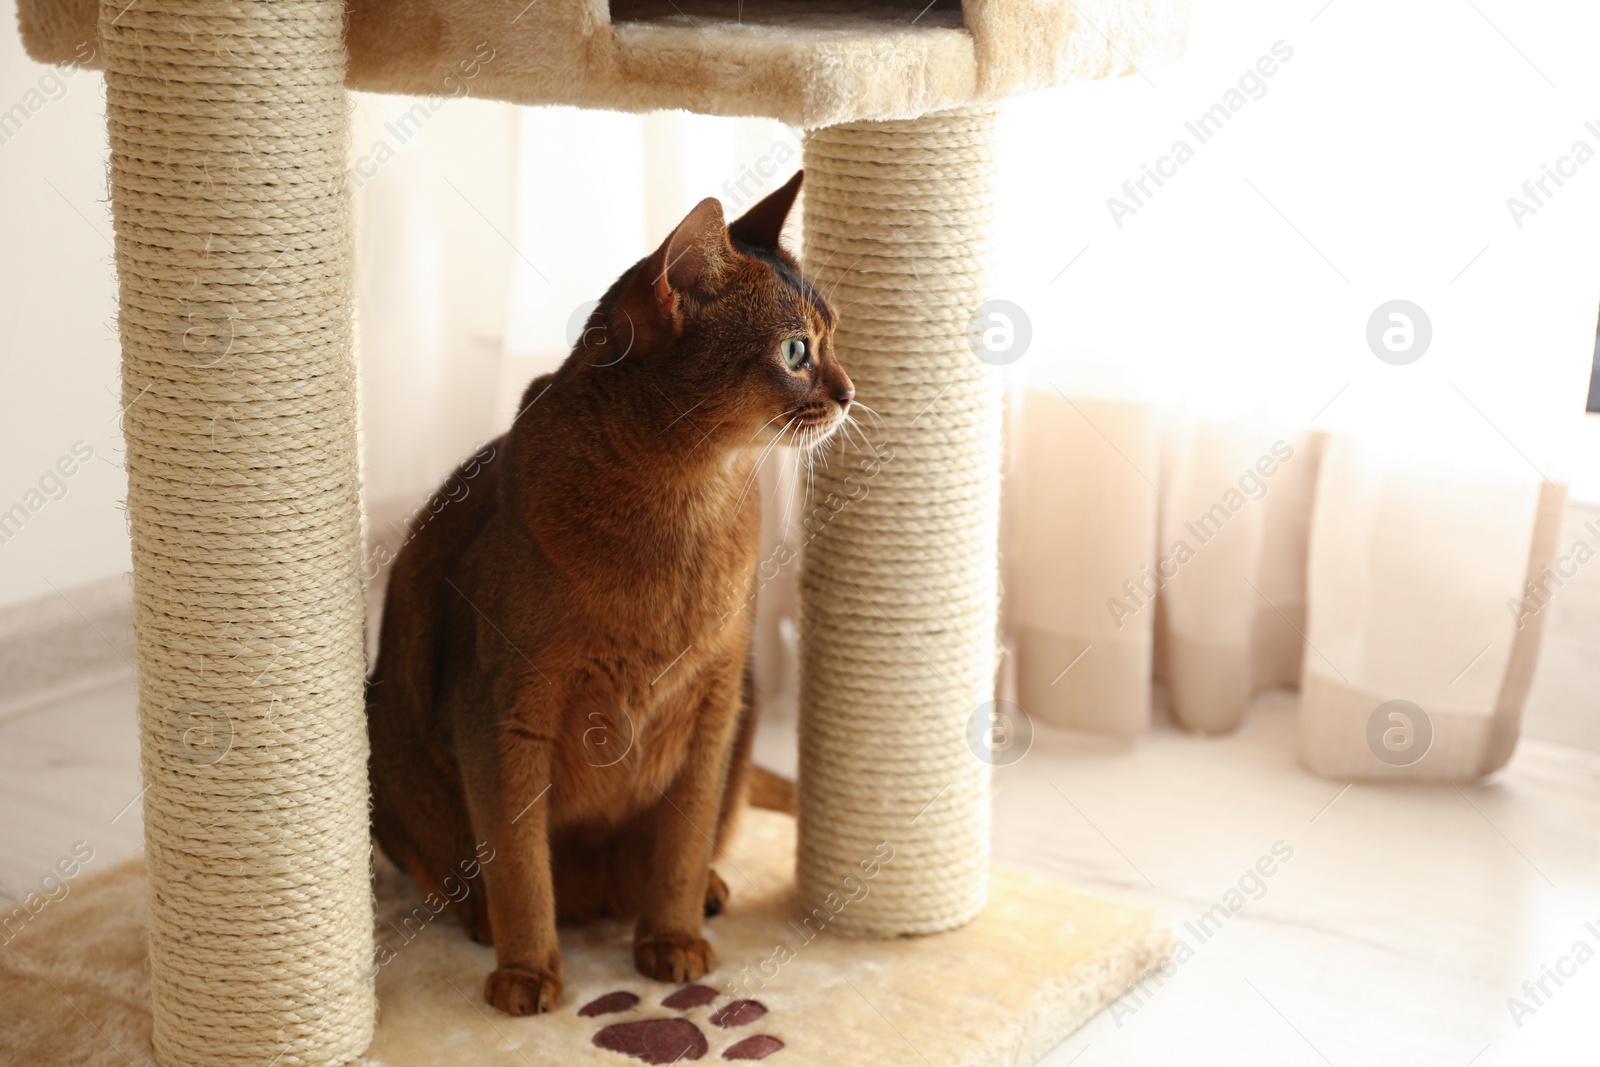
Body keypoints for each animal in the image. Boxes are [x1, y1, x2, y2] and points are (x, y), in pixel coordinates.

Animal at [368, 173, 857, 1017]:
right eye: (797, 351)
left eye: (830, 339)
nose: (851, 391)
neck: (685, 500)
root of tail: (597, 891)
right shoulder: (504, 709)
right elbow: (518, 862)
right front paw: (527, 971)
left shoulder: (714, 700)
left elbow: (684, 840)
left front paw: (671, 938)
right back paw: (482, 918)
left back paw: (706, 892)